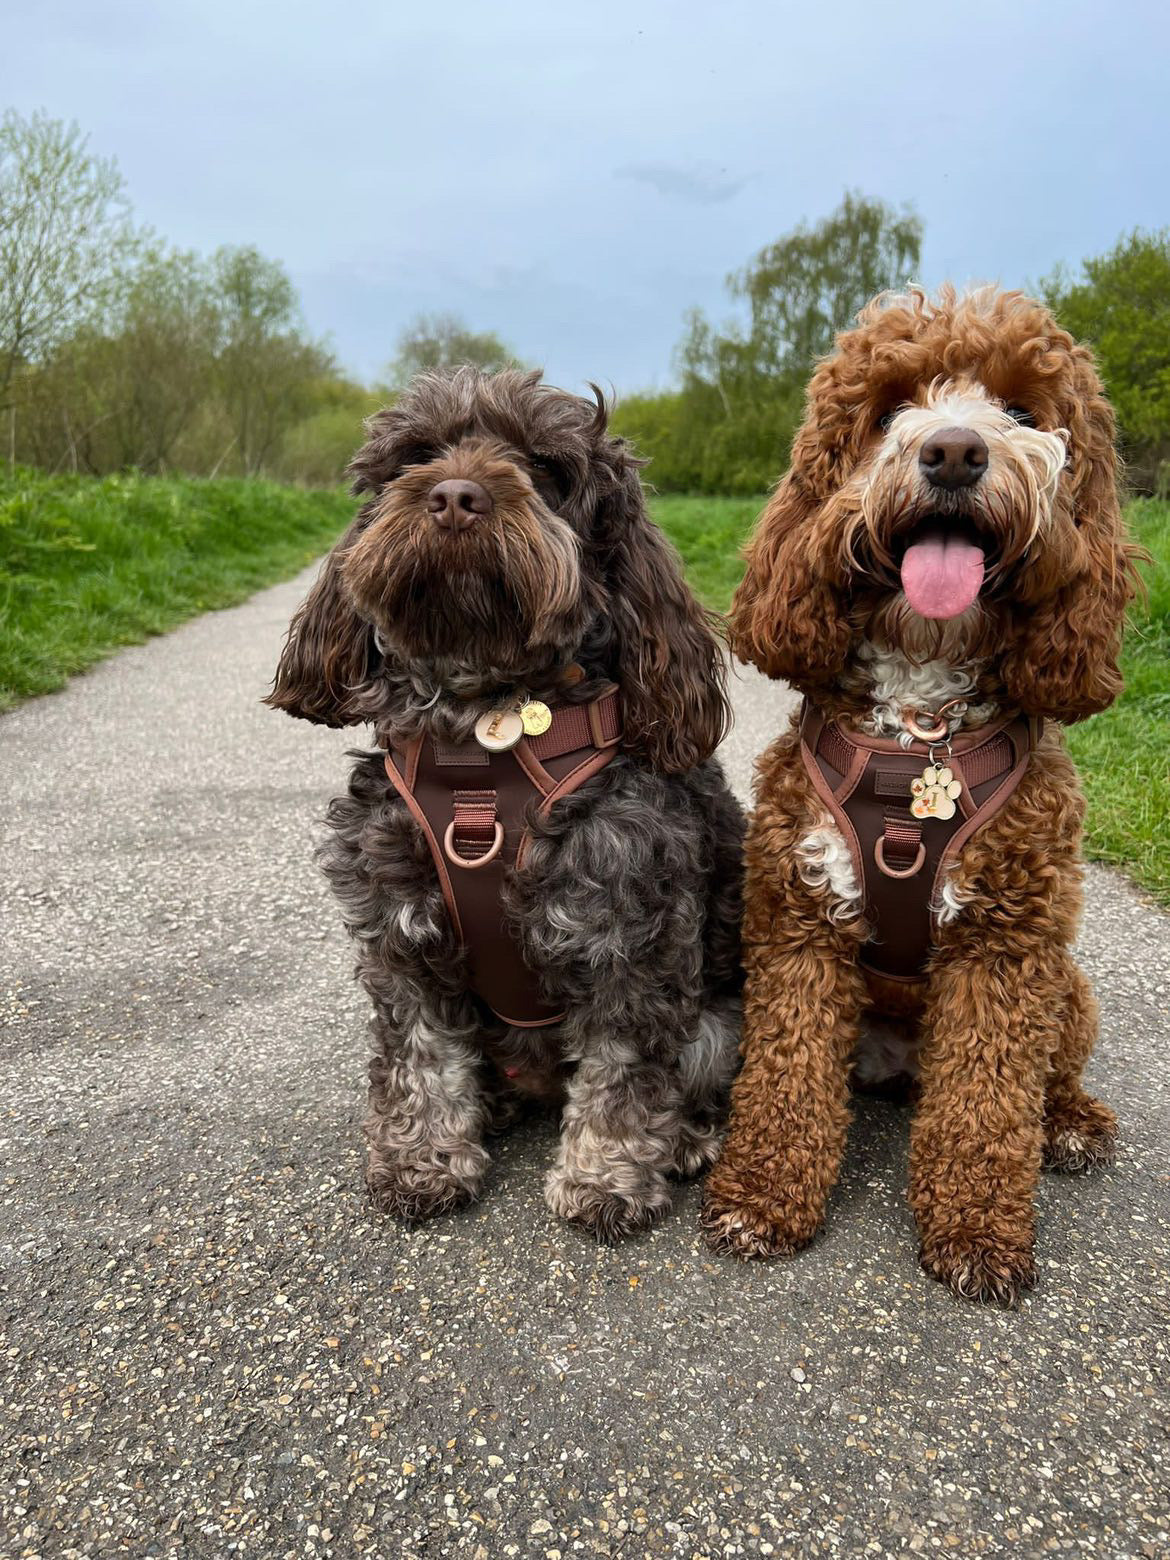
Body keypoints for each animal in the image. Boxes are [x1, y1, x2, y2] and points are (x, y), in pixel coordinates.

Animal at [705, 290, 1148, 1304]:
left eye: (1022, 410)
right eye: (892, 406)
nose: (952, 452)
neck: (919, 731)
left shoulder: (1007, 948)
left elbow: (987, 1103)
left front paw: (977, 1230)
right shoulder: (799, 925)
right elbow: (786, 1075)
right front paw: (762, 1196)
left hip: (1069, 988)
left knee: (1042, 1082)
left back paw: (1071, 1124)